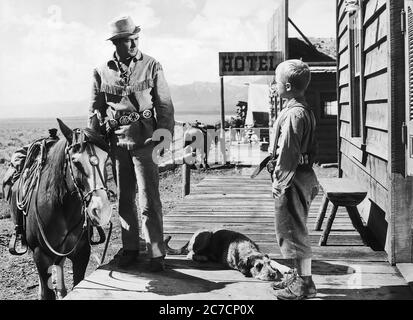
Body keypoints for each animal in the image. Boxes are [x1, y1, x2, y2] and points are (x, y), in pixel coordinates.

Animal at [9, 118, 112, 300]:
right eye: (76, 161)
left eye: (106, 159)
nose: (102, 211)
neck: (63, 210)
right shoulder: (41, 255)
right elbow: (47, 292)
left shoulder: (81, 253)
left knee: (60, 264)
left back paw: (62, 290)